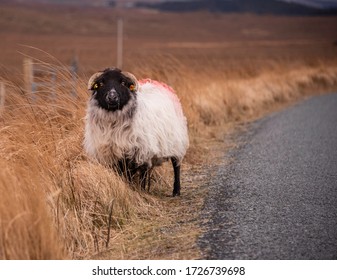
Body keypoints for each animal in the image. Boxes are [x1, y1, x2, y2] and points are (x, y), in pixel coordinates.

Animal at [83, 67, 189, 197]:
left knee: (176, 165)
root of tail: (157, 83)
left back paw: (176, 191)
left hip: (177, 141)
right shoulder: (114, 153)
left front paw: (141, 192)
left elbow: (141, 173)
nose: (112, 97)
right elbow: (123, 174)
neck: (113, 125)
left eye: (123, 83)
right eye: (101, 83)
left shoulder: (141, 150)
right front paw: (128, 188)